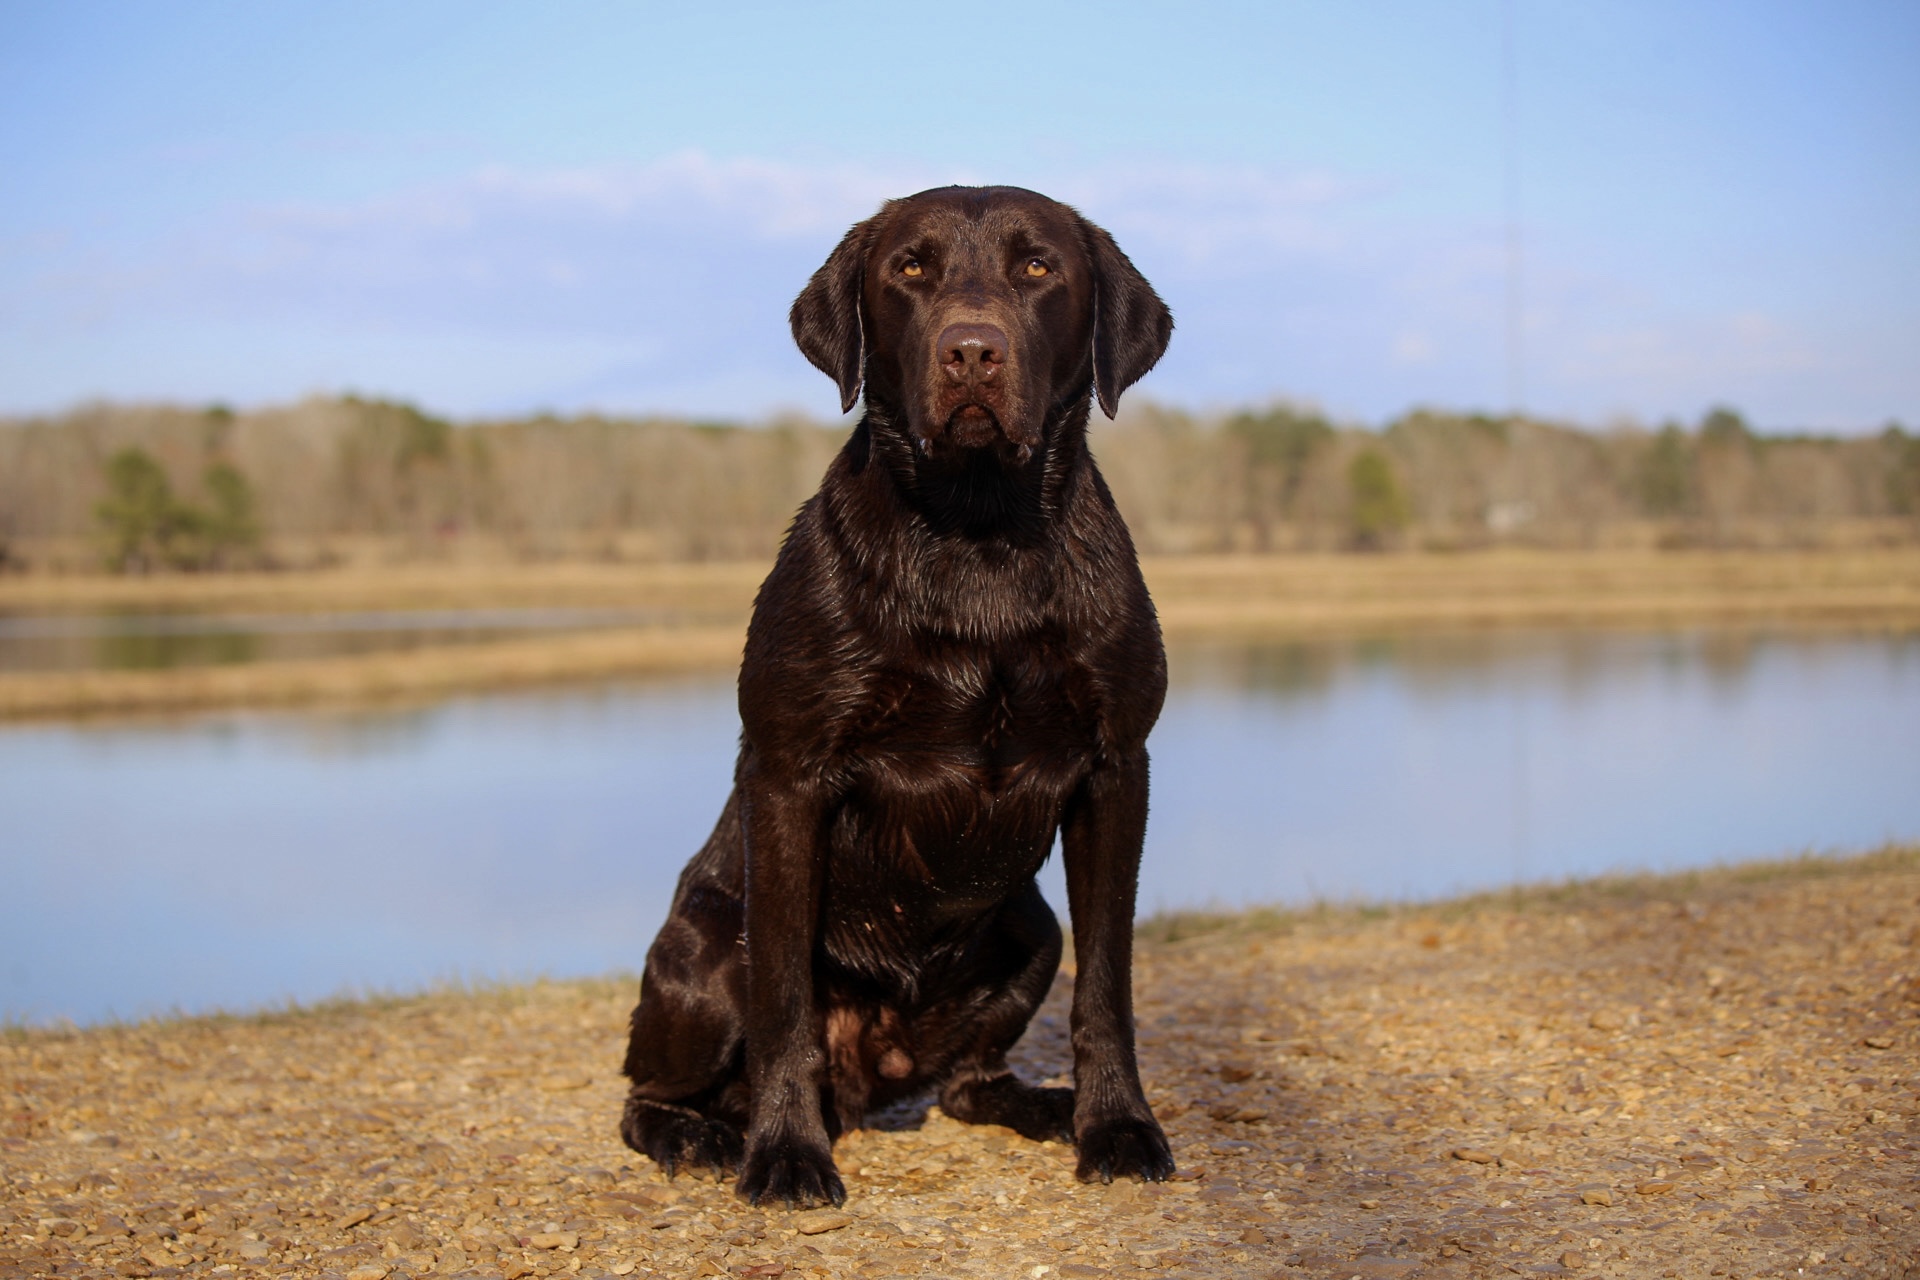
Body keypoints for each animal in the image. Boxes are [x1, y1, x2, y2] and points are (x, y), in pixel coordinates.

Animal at [622, 182, 1175, 1212]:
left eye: (1038, 267)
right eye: (910, 269)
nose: (972, 350)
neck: (980, 536)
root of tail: (866, 1075)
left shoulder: (1118, 769)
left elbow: (1107, 987)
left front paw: (1118, 1126)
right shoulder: (790, 773)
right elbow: (785, 1004)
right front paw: (786, 1154)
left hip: (1030, 929)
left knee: (967, 1083)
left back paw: (1043, 1103)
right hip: (704, 956)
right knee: (646, 1092)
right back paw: (705, 1135)